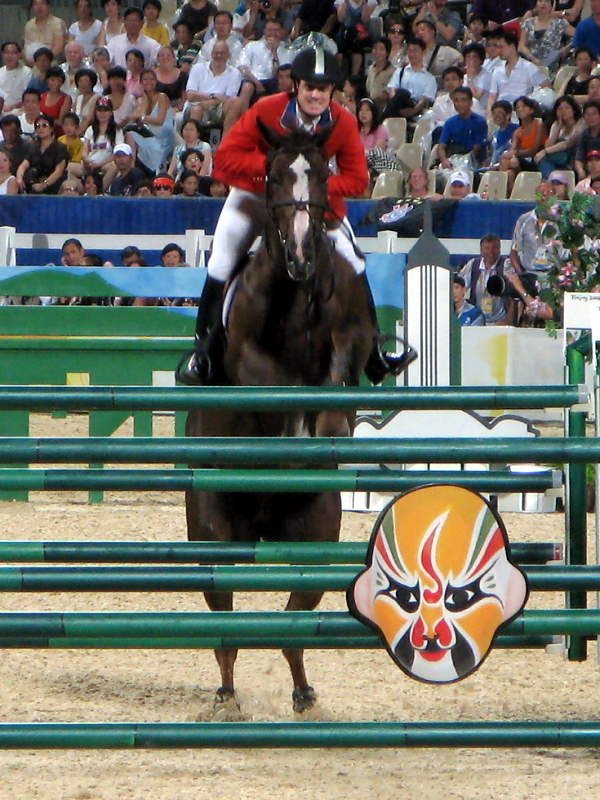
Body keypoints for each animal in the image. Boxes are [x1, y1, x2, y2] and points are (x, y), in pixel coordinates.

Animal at [188, 123, 376, 712]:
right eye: (270, 177)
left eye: (319, 176)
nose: (301, 258)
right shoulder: (248, 359)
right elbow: (271, 384)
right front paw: (293, 426)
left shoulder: (350, 338)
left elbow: (338, 378)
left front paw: (324, 434)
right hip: (212, 535)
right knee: (223, 619)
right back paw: (227, 694)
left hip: (316, 535)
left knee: (296, 620)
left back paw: (302, 691)